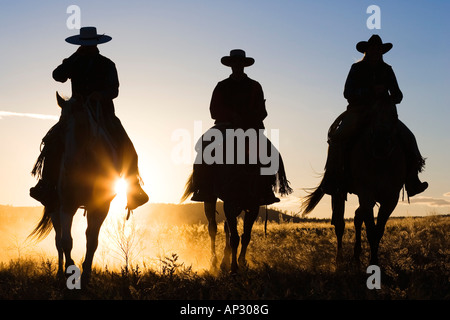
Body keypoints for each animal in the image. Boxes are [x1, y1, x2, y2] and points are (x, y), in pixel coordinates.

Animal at [28, 92, 120, 284]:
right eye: (60, 130)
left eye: (84, 128)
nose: (70, 167)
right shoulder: (67, 205)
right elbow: (66, 242)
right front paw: (71, 271)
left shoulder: (101, 207)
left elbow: (92, 241)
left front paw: (86, 275)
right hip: (54, 208)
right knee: (58, 241)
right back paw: (59, 274)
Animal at [300, 102, 406, 264]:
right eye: (372, 114)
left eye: (395, 115)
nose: (380, 145)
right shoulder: (366, 194)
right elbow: (370, 230)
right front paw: (372, 263)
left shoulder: (391, 198)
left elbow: (378, 231)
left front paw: (373, 260)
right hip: (338, 191)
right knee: (340, 223)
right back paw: (340, 259)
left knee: (356, 217)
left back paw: (356, 256)